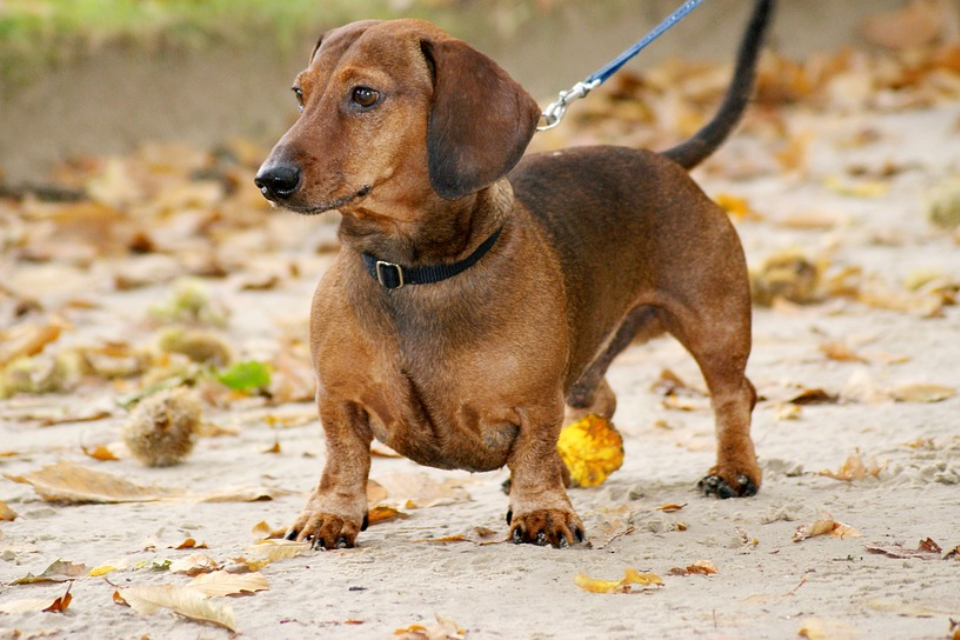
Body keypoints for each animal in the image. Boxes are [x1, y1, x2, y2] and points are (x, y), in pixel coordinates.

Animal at [253, 0, 772, 552]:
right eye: (300, 93)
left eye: (364, 95)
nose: (270, 180)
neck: (414, 273)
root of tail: (663, 158)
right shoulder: (337, 399)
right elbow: (342, 459)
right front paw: (329, 515)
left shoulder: (537, 401)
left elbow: (536, 451)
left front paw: (542, 510)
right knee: (602, 398)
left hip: (714, 323)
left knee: (733, 394)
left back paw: (734, 470)